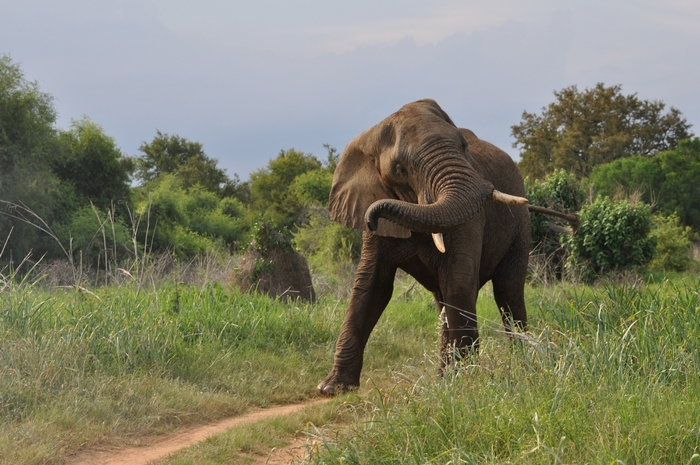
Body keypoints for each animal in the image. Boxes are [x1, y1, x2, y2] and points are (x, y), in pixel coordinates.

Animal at [317, 99, 533, 395]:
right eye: (400, 169)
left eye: (463, 146)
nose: (372, 216)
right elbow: (371, 287)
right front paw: (332, 388)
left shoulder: (471, 219)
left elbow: (459, 282)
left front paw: (465, 382)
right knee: (445, 301)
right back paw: (444, 377)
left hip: (520, 229)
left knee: (507, 291)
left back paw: (521, 361)